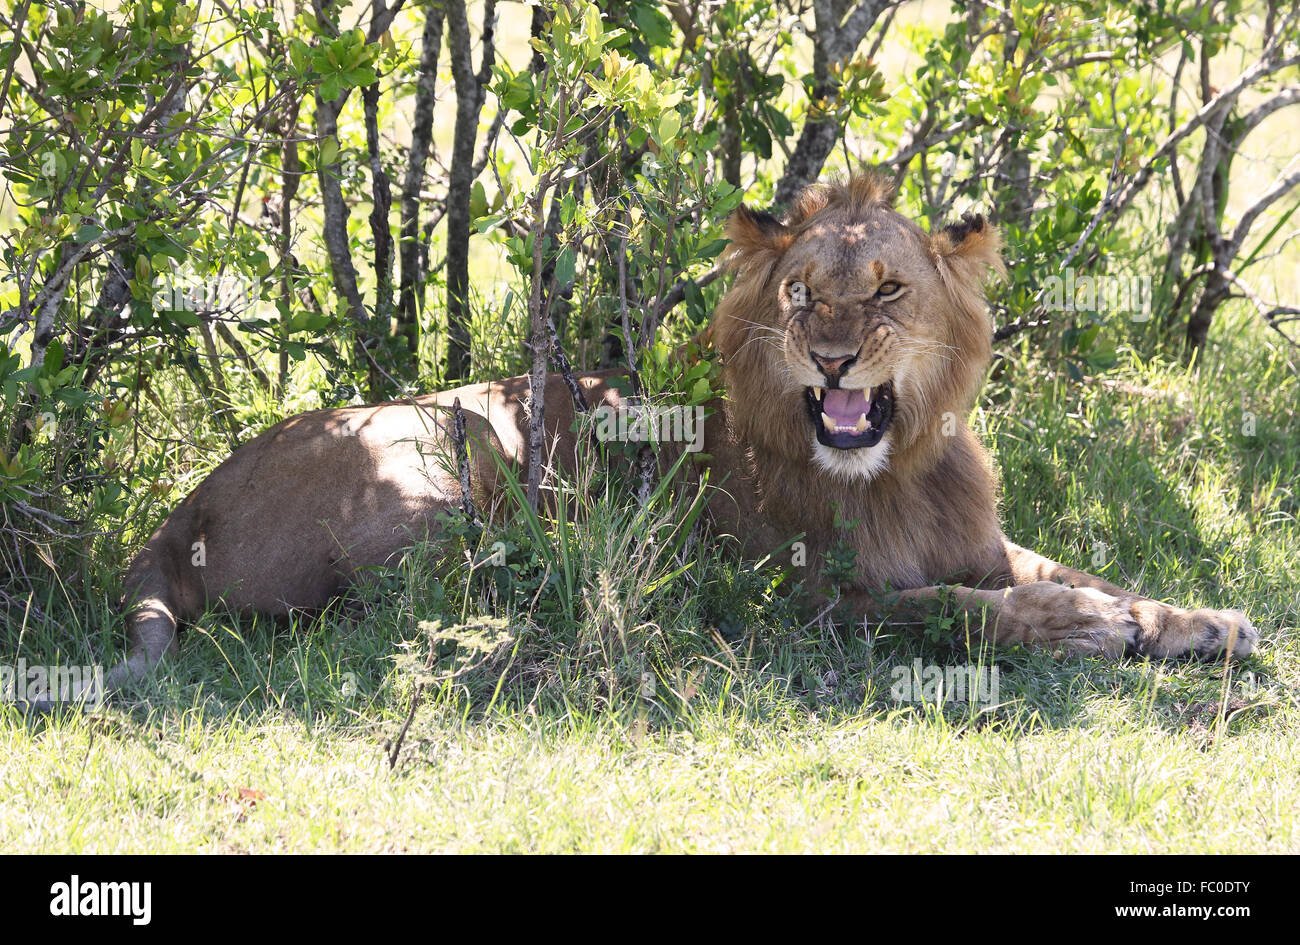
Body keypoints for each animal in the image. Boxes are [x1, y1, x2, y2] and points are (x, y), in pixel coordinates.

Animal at [73, 171, 1258, 701]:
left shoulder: (977, 537)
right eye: (799, 294)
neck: (895, 469)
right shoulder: (803, 595)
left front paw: (1201, 621)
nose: (834, 361)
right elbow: (950, 607)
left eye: (886, 291)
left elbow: (1082, 569)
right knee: (396, 610)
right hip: (433, 455)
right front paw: (1080, 627)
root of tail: (185, 501)